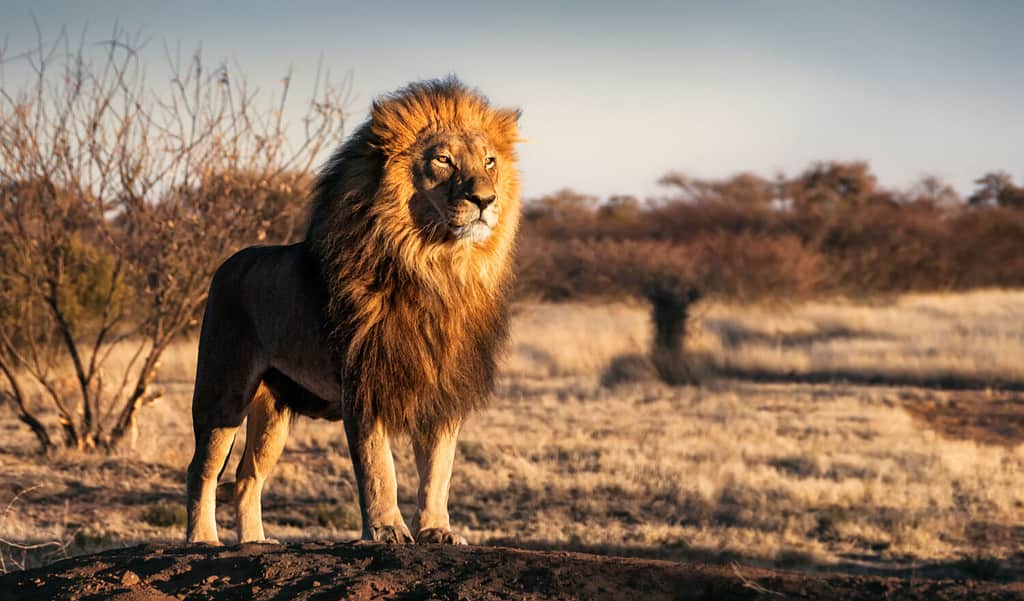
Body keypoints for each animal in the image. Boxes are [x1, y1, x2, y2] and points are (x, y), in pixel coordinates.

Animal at [186, 78, 520, 544]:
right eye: (443, 159)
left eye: (490, 161)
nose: (485, 199)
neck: (436, 268)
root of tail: (227, 263)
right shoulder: (363, 383)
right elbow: (379, 468)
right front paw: (387, 530)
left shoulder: (443, 389)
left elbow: (439, 470)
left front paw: (437, 530)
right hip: (223, 392)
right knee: (202, 469)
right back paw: (202, 539)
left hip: (273, 411)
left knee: (247, 476)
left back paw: (254, 542)